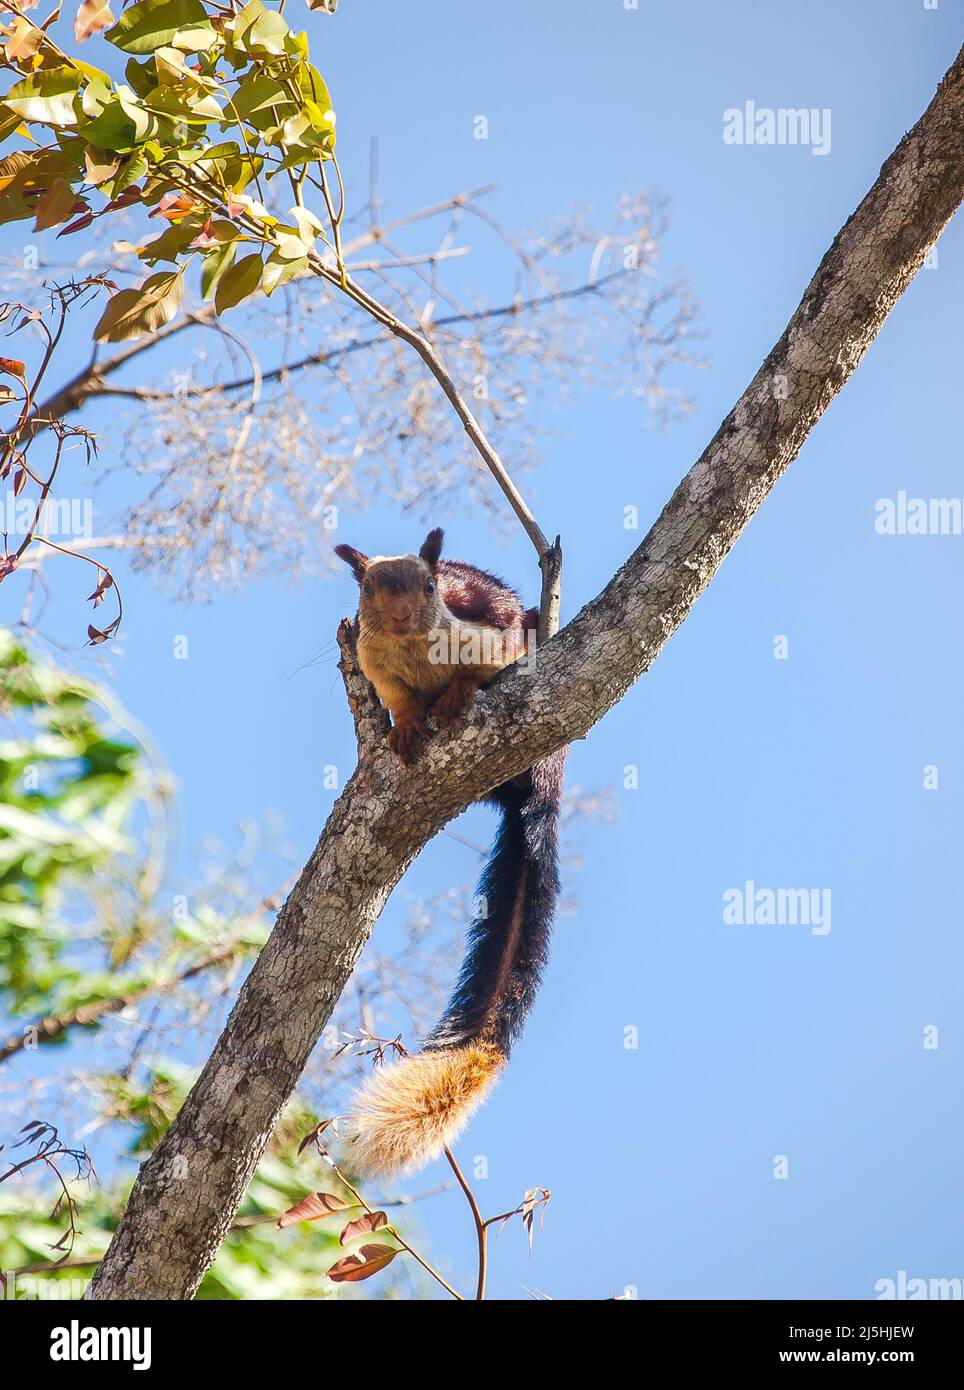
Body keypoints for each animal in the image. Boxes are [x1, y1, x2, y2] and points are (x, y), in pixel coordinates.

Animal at [337, 528, 566, 1173]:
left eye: (429, 586)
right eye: (367, 588)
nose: (398, 616)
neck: (415, 650)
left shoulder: (487, 632)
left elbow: (492, 657)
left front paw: (457, 694)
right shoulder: (376, 665)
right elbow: (395, 698)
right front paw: (407, 722)